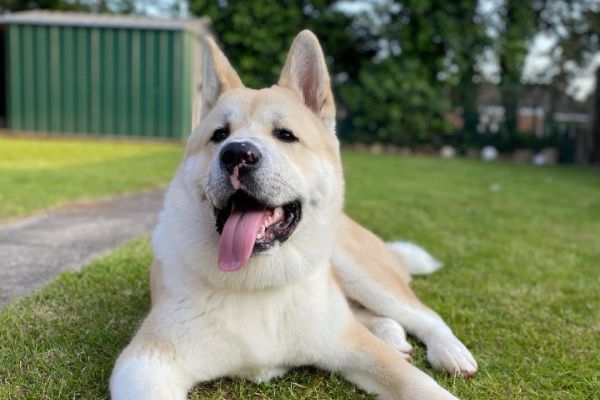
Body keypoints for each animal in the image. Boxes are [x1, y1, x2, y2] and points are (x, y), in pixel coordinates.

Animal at [110, 29, 476, 398]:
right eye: (219, 135)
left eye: (286, 135)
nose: (236, 154)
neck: (259, 282)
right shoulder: (146, 361)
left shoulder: (352, 343)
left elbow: (419, 384)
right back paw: (395, 338)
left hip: (363, 275)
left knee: (424, 315)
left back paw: (450, 351)